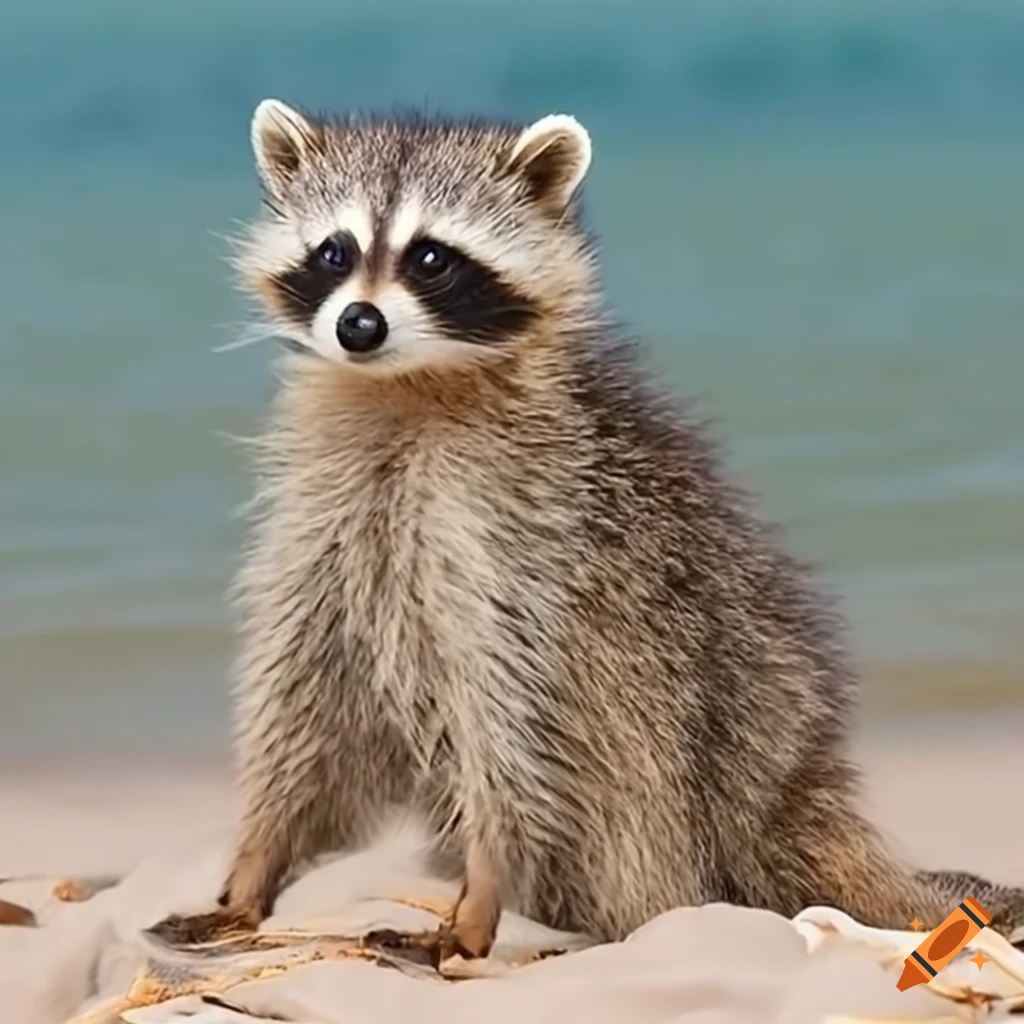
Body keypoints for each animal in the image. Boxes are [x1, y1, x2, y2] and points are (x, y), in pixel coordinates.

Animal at [218, 99, 1023, 956]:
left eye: (431, 258)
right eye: (334, 252)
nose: (359, 326)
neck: (404, 388)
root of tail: (793, 789)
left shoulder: (519, 540)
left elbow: (508, 720)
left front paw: (483, 887)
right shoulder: (324, 523)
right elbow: (301, 689)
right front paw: (261, 852)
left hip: (681, 756)